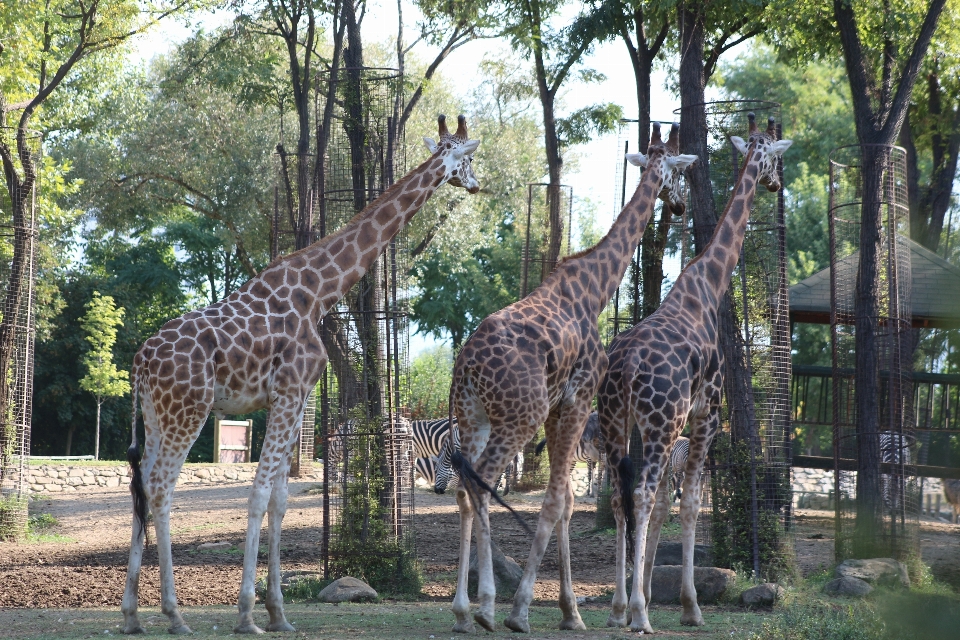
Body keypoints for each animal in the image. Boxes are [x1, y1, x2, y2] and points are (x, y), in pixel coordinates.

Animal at [120, 115, 480, 636]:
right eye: (468, 158)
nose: (476, 184)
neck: (320, 291)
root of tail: (140, 363)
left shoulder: (297, 397)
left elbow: (281, 498)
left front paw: (278, 613)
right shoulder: (289, 391)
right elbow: (258, 494)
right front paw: (247, 614)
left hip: (154, 414)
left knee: (141, 486)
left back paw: (131, 614)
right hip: (188, 410)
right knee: (162, 486)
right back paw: (174, 614)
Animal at [442, 122, 696, 632]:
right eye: (679, 173)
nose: (680, 204)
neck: (597, 288)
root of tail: (466, 366)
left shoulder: (557, 408)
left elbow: (564, 501)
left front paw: (570, 611)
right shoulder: (577, 399)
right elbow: (557, 500)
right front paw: (524, 611)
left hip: (473, 416)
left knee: (462, 489)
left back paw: (461, 612)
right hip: (516, 417)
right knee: (480, 484)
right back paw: (486, 606)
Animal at [600, 112, 796, 632]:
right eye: (776, 157)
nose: (775, 182)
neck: (710, 283)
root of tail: (625, 365)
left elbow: (669, 507)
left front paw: (648, 595)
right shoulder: (708, 412)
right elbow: (688, 504)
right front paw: (690, 605)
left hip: (616, 422)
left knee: (620, 498)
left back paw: (620, 607)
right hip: (660, 422)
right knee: (643, 494)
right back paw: (640, 615)